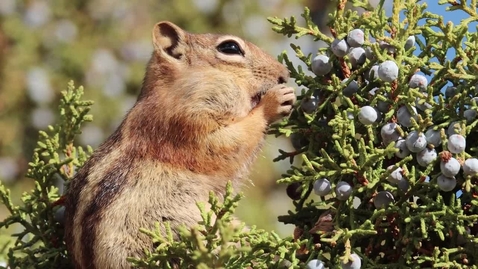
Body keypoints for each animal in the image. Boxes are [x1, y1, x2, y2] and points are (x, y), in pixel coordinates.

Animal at [63, 19, 296, 266]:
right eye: (230, 48)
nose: (284, 74)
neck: (175, 91)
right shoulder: (185, 125)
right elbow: (228, 144)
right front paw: (273, 103)